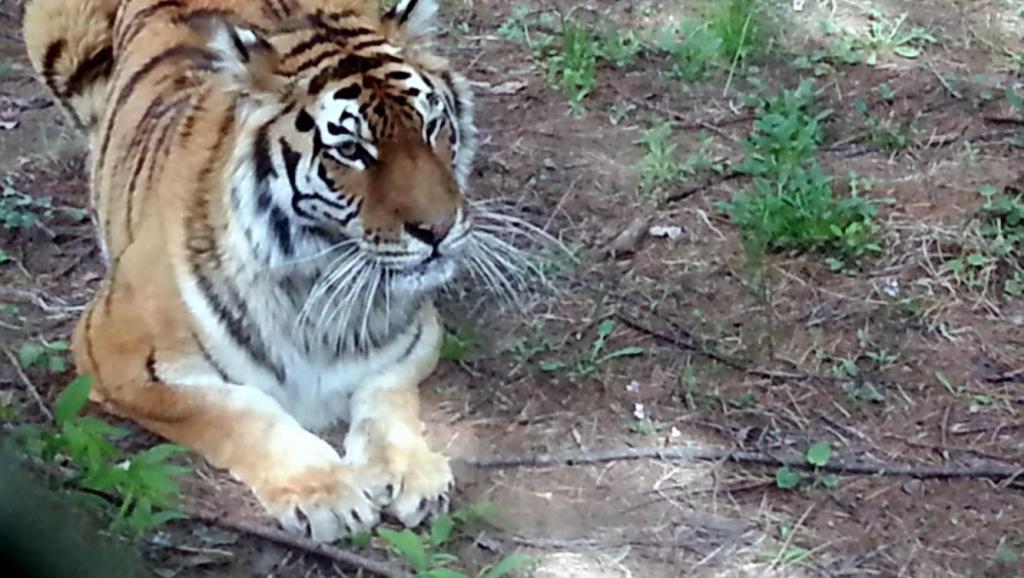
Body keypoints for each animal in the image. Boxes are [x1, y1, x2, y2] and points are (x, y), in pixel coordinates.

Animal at [24, 0, 528, 541]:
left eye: (433, 127)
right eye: (350, 150)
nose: (438, 229)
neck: (314, 277)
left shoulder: (410, 341)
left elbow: (385, 401)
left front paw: (411, 471)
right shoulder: (114, 355)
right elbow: (240, 410)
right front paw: (324, 492)